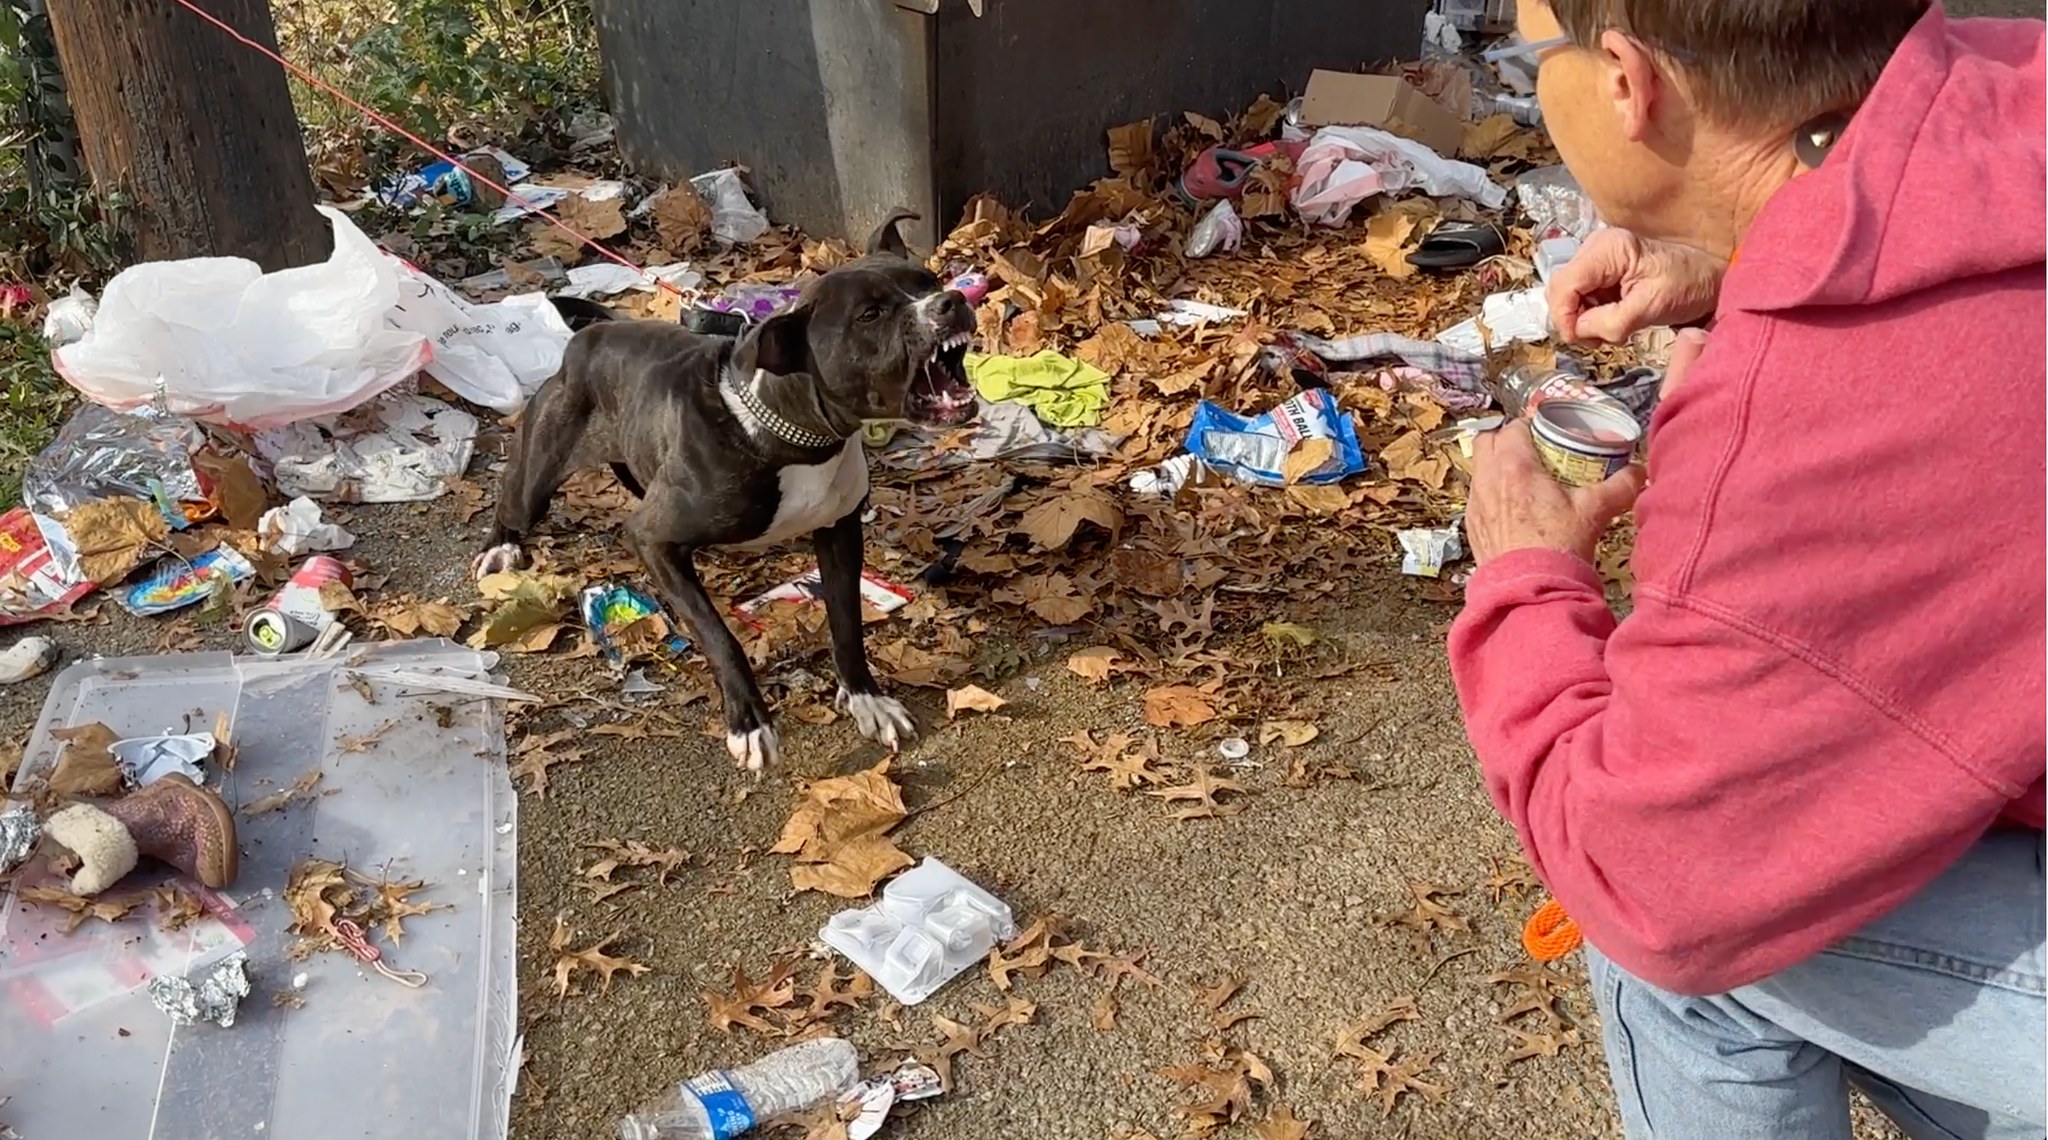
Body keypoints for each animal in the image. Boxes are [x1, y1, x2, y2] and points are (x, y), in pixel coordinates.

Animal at [471, 209, 974, 769]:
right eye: (870, 315)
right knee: (513, 503)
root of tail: (592, 334)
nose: (952, 300)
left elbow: (846, 622)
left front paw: (867, 698)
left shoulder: (839, 531)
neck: (794, 434)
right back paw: (500, 549)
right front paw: (749, 722)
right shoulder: (652, 539)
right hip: (541, 466)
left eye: (927, 281)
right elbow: (719, 636)